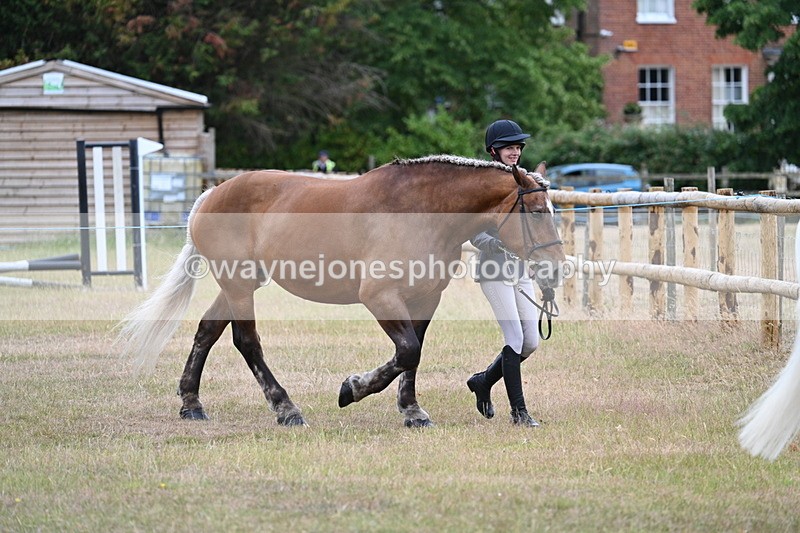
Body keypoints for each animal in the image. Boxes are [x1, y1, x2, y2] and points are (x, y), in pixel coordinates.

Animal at [117, 155, 565, 427]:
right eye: (536, 212)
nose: (556, 269)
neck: (419, 211)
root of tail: (211, 194)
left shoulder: (424, 299)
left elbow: (413, 354)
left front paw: (412, 411)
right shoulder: (381, 297)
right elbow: (407, 351)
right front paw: (353, 389)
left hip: (239, 284)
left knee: (207, 331)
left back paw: (191, 404)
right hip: (240, 284)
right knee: (246, 342)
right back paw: (286, 409)